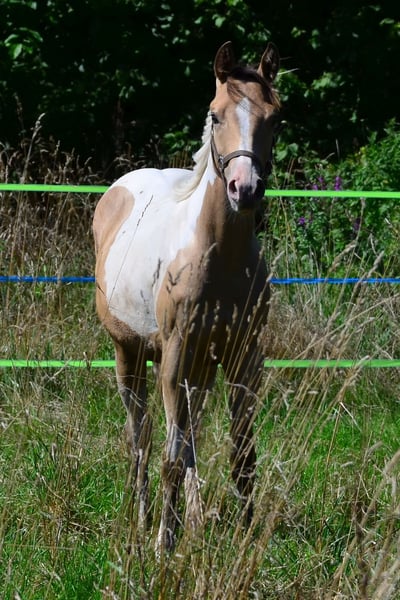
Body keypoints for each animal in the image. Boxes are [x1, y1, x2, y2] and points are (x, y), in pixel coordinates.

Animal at [93, 41, 280, 551]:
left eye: (275, 117)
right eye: (215, 115)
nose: (245, 188)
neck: (217, 256)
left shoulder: (243, 356)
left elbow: (242, 456)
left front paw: (246, 537)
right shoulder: (175, 353)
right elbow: (169, 455)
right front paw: (164, 544)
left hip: (201, 366)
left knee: (190, 434)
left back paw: (195, 520)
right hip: (131, 354)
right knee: (141, 438)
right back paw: (144, 520)